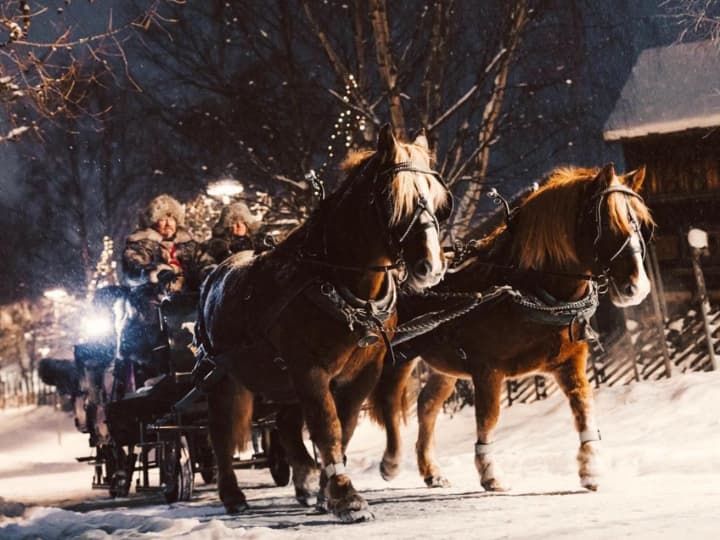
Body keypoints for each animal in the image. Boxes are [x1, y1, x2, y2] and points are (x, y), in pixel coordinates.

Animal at [197, 124, 450, 520]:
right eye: (392, 198)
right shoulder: (310, 371)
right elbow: (327, 429)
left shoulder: (361, 375)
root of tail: (214, 275)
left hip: (280, 380)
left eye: (438, 201)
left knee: (284, 425)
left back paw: (304, 480)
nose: (432, 266)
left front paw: (326, 490)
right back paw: (232, 494)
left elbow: (342, 429)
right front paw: (347, 498)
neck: (340, 284)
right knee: (220, 431)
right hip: (223, 377)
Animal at [368, 163, 656, 494]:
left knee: (427, 405)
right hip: (400, 354)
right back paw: (388, 462)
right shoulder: (487, 369)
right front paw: (490, 472)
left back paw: (432, 471)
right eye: (607, 221)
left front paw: (591, 467)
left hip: (444, 365)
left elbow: (584, 408)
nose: (637, 288)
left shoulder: (570, 363)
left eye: (642, 225)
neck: (530, 288)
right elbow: (489, 417)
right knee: (388, 401)